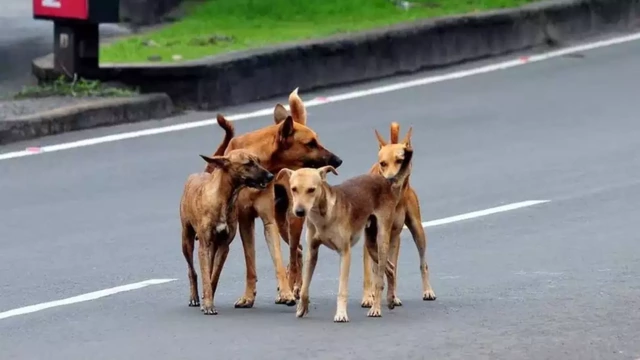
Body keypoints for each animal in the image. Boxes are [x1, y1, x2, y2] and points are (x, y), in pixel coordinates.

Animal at [179, 147, 274, 316]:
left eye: (258, 160)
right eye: (248, 163)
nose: (271, 176)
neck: (224, 198)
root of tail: (195, 175)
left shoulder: (224, 247)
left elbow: (213, 276)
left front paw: (208, 299)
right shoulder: (204, 246)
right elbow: (205, 276)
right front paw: (208, 304)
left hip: (213, 247)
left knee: (208, 269)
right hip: (187, 241)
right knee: (192, 271)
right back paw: (194, 297)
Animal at [208, 88, 342, 308]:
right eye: (311, 143)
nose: (338, 160)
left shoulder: (268, 222)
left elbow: (278, 261)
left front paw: (286, 292)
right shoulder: (245, 222)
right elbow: (250, 263)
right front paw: (248, 296)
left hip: (291, 219)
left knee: (295, 254)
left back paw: (293, 288)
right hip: (282, 223)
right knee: (297, 251)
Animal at [280, 145, 416, 322]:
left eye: (311, 190)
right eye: (294, 189)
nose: (299, 212)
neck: (324, 215)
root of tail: (386, 181)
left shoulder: (345, 253)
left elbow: (342, 289)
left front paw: (341, 314)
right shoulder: (312, 252)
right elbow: (304, 287)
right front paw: (302, 308)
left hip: (381, 241)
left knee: (379, 279)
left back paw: (376, 308)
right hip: (371, 245)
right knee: (391, 268)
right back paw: (391, 299)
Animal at [360, 122, 436, 308]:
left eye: (400, 161)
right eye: (383, 163)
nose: (390, 179)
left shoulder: (392, 235)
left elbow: (390, 268)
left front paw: (390, 295)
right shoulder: (370, 236)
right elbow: (371, 270)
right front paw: (369, 297)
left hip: (416, 231)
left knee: (422, 262)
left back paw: (426, 290)